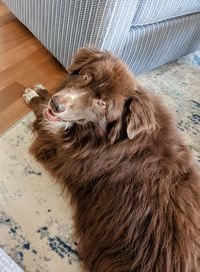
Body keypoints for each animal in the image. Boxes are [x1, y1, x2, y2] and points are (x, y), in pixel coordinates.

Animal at [23, 48, 200, 272]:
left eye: (102, 104)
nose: (56, 104)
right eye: (86, 76)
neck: (107, 137)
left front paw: (34, 96)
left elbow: (42, 115)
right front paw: (41, 91)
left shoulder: (58, 152)